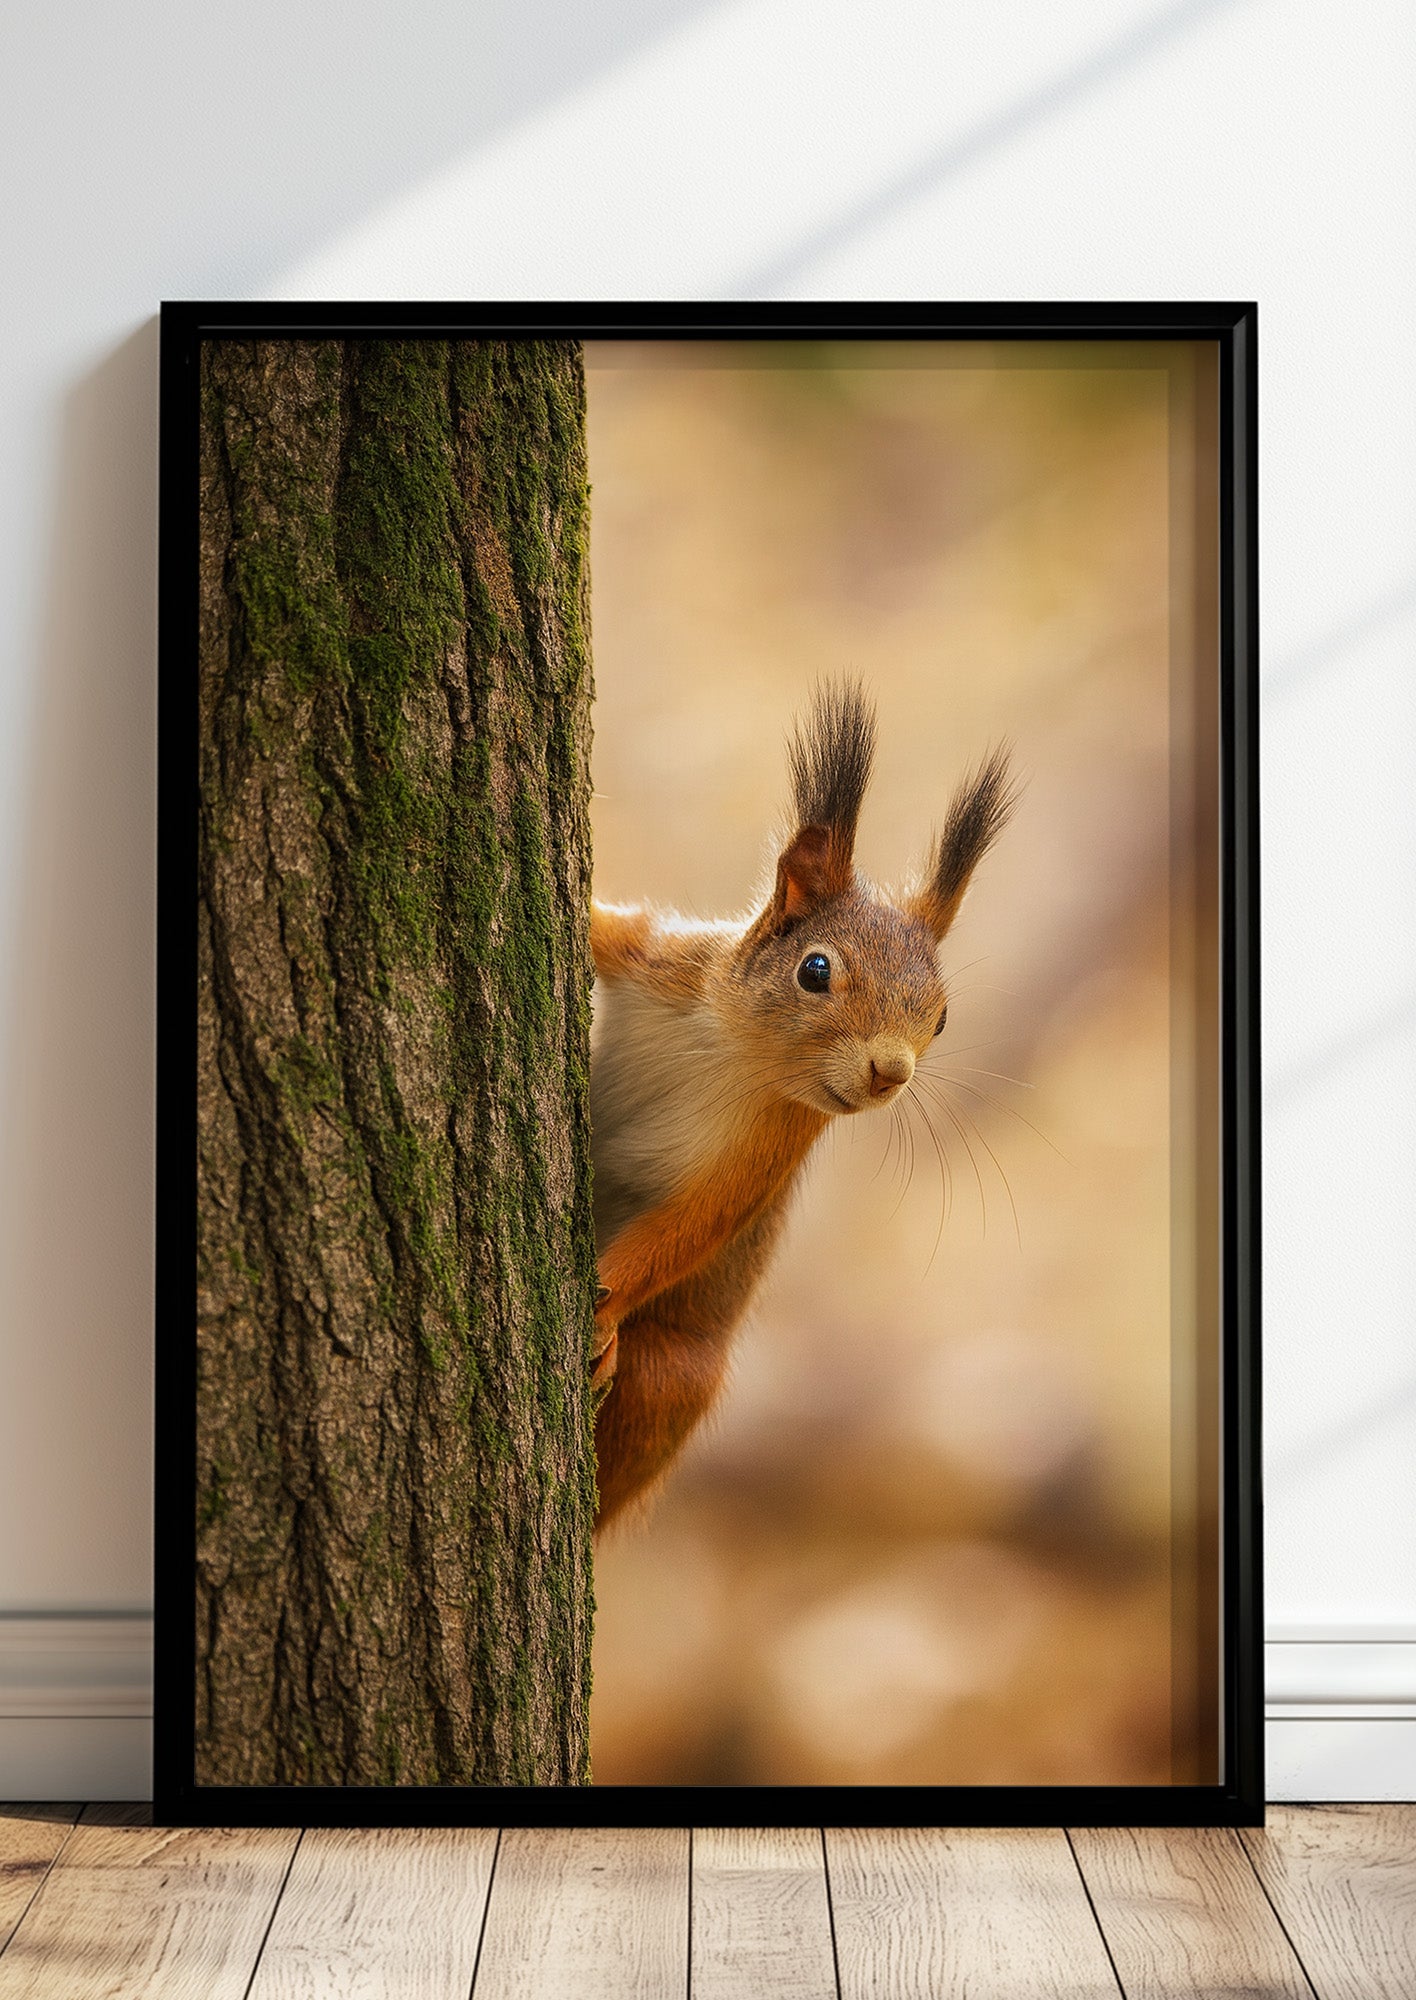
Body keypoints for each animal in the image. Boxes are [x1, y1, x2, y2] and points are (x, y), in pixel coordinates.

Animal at [588, 681, 1015, 1529]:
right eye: (815, 970)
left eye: (942, 1018)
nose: (891, 1072)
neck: (732, 1051)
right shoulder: (657, 957)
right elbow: (600, 927)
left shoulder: (769, 1150)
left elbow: (689, 1229)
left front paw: (603, 1311)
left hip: (673, 1379)